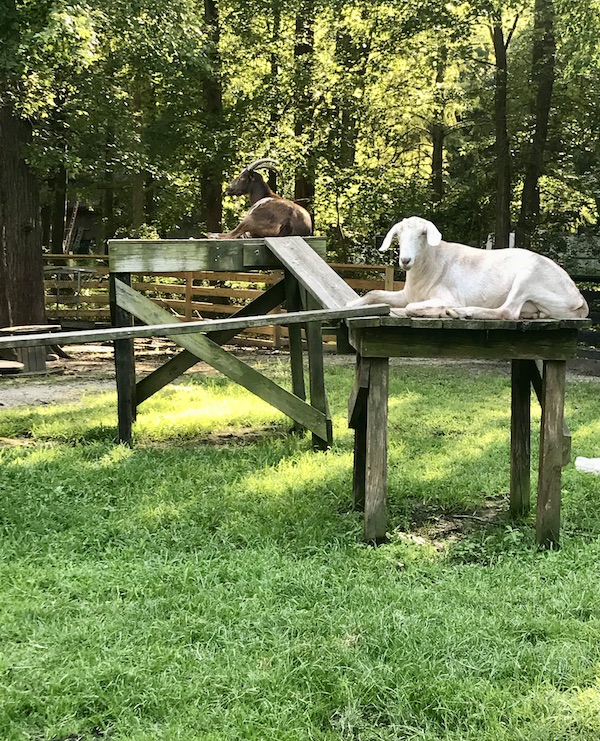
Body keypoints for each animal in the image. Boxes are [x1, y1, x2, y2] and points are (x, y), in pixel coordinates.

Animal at [351, 216, 589, 320]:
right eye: (398, 235)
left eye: (423, 234)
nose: (406, 260)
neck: (432, 266)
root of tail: (579, 300)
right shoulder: (407, 294)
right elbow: (374, 292)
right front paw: (352, 303)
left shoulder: (447, 295)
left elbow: (410, 307)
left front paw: (441, 311)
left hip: (528, 277)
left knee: (508, 311)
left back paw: (461, 312)